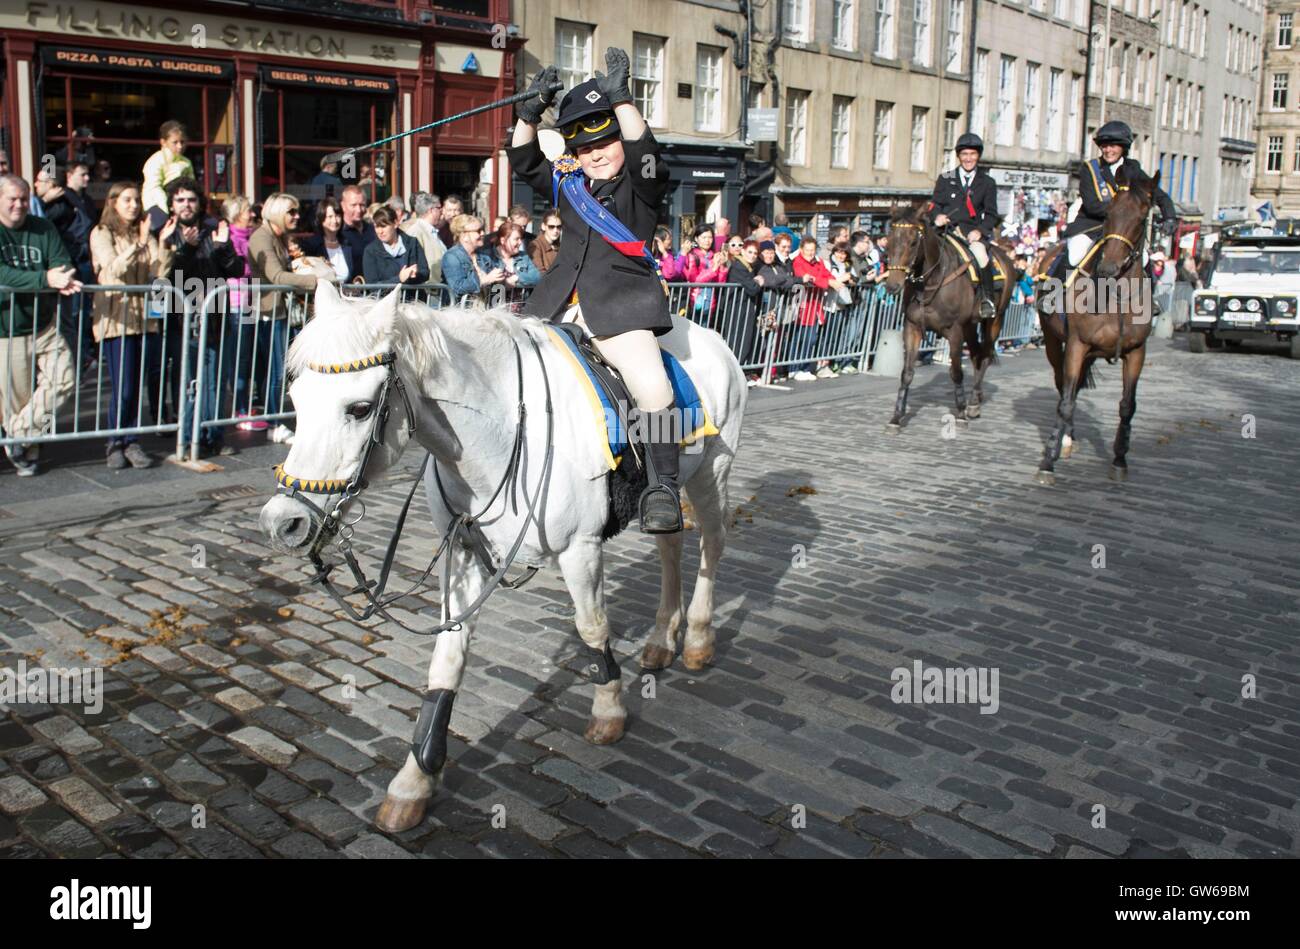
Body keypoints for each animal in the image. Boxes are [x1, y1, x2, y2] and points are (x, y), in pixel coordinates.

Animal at [258, 284, 748, 832]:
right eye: (296, 401)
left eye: (360, 408)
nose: (282, 523)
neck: (500, 430)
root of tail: (706, 335)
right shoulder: (463, 552)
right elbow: (447, 659)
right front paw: (416, 778)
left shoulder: (580, 548)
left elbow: (593, 627)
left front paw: (608, 711)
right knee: (671, 545)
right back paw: (663, 638)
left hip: (712, 473)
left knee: (711, 544)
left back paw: (699, 638)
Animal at [883, 205, 1013, 434]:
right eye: (888, 241)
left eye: (913, 242)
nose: (892, 286)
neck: (930, 282)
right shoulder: (912, 328)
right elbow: (907, 373)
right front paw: (896, 418)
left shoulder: (955, 331)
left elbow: (956, 372)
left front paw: (960, 414)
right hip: (970, 326)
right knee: (977, 355)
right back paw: (975, 398)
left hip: (994, 321)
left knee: (985, 356)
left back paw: (973, 404)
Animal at [1029, 163, 1164, 483]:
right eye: (1110, 212)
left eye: (1142, 218)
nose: (1108, 268)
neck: (1116, 296)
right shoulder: (1076, 345)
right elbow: (1065, 401)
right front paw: (1048, 460)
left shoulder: (1136, 352)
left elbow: (1127, 406)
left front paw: (1119, 458)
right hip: (1054, 343)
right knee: (1063, 387)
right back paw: (1065, 440)